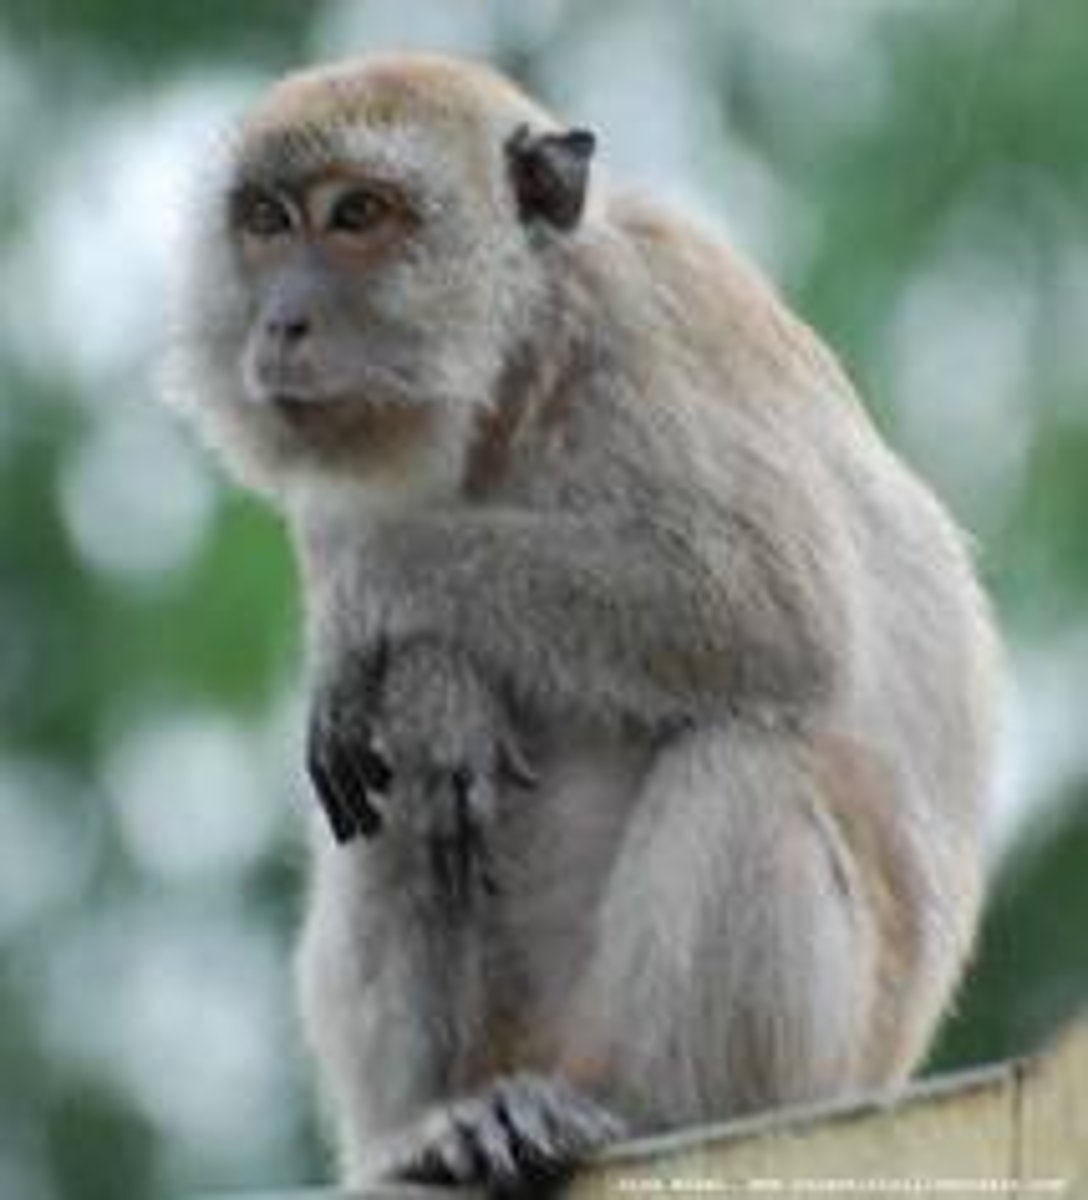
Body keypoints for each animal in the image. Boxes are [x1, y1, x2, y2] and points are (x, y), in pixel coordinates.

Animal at [167, 52, 1002, 1197]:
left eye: (359, 215)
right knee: (396, 795)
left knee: (749, 753)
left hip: (807, 1073)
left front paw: (376, 608)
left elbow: (767, 610)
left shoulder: (654, 320)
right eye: (265, 220)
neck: (516, 372)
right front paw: (437, 689)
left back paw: (637, 1109)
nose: (282, 321)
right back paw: (432, 1134)